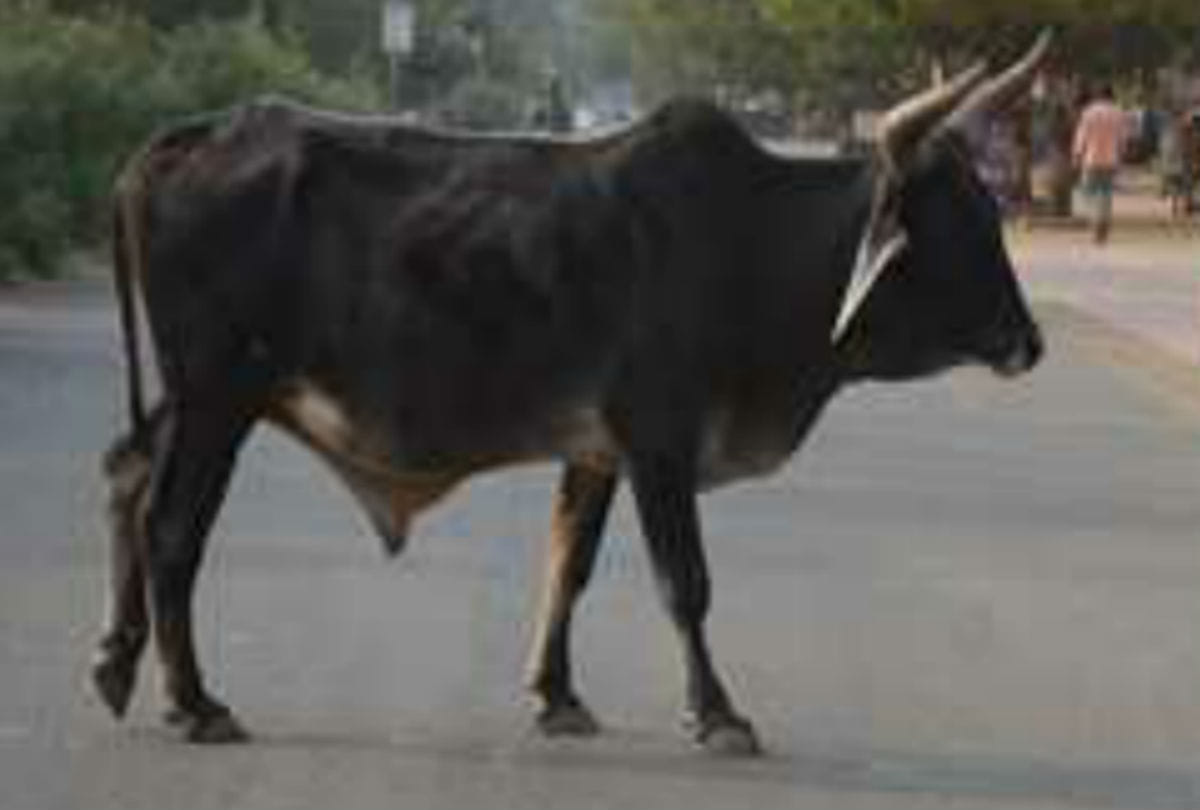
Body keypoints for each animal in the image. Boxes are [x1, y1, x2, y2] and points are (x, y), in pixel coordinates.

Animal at [91, 33, 1050, 756]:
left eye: (990, 212)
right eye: (957, 223)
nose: (1029, 343)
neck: (754, 244)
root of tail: (193, 136)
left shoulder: (598, 450)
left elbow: (569, 565)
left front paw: (556, 696)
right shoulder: (659, 440)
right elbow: (684, 583)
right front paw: (718, 713)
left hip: (197, 398)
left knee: (126, 479)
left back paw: (116, 665)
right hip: (218, 397)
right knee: (170, 526)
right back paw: (194, 702)